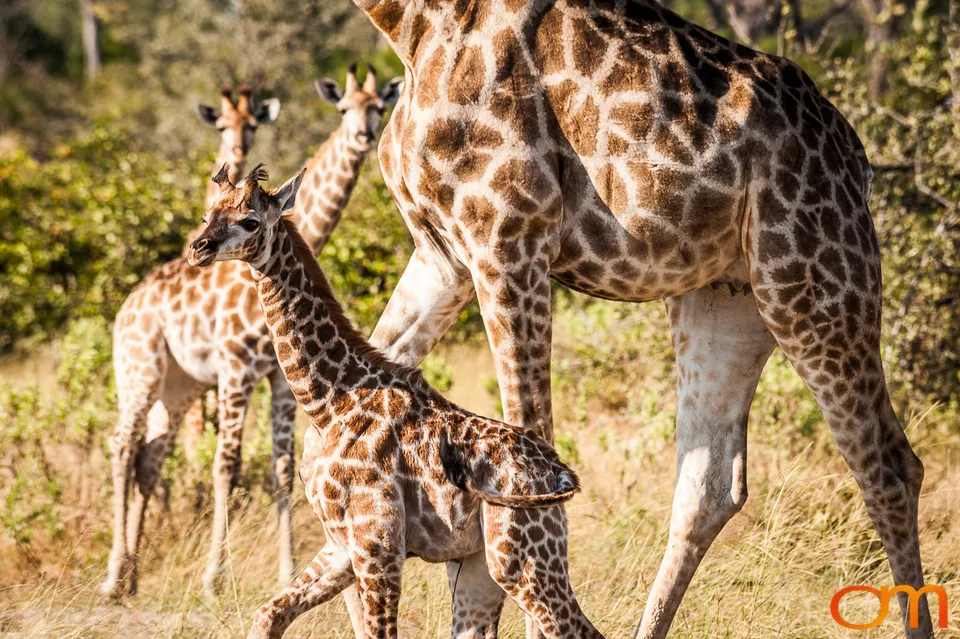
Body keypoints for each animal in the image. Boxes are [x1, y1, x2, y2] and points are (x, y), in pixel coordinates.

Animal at [100, 65, 402, 599]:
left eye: (379, 107)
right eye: (344, 107)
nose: (365, 136)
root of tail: (127, 306)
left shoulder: (277, 378)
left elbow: (281, 467)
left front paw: (286, 569)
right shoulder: (235, 368)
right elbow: (228, 464)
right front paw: (212, 578)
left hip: (178, 386)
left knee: (149, 458)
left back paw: (133, 576)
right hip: (139, 371)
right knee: (121, 445)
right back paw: (113, 577)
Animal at [186, 164, 602, 639]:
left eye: (250, 221)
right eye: (208, 215)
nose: (199, 249)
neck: (328, 403)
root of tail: (563, 474)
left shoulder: (378, 544)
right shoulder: (341, 545)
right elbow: (267, 615)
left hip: (520, 556)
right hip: (481, 566)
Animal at [338, 2, 933, 638]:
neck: (410, 27)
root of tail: (858, 159)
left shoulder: (508, 238)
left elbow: (529, 480)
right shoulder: (442, 254)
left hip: (812, 277)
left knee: (890, 468)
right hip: (727, 298)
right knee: (709, 486)